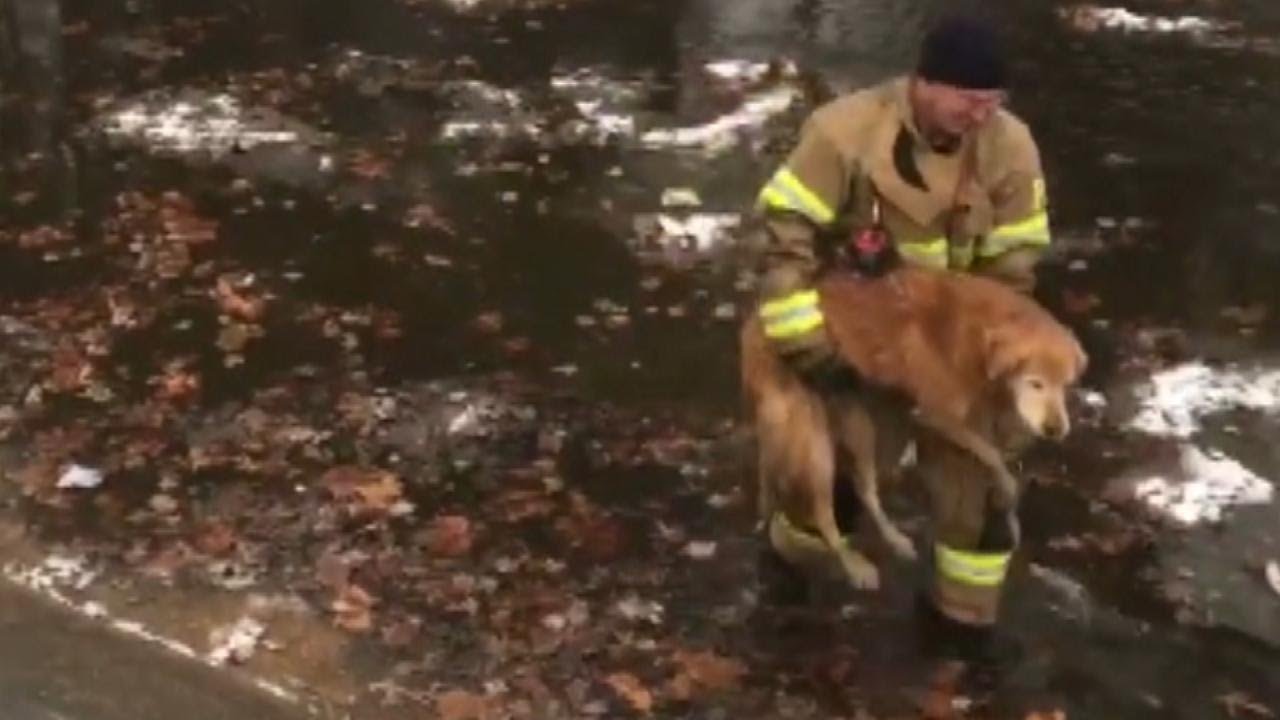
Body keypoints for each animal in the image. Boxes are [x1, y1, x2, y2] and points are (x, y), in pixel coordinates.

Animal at [742, 263, 1090, 589]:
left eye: (1065, 385)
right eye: (1035, 383)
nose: (1055, 430)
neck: (975, 334)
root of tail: (755, 325)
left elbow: (994, 458)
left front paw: (1008, 506)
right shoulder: (937, 415)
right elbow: (990, 454)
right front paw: (1006, 490)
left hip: (860, 427)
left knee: (865, 489)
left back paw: (894, 540)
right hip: (814, 446)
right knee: (823, 513)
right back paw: (855, 566)